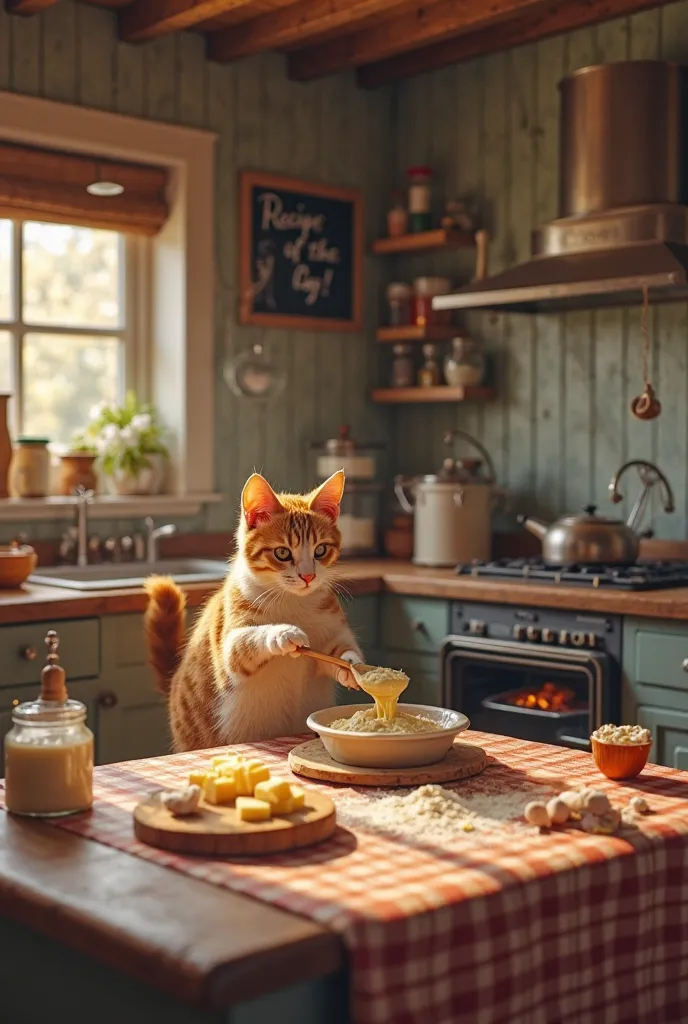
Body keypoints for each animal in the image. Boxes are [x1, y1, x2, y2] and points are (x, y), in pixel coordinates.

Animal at [142, 471, 362, 753]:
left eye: (320, 550)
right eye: (282, 552)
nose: (308, 576)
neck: (292, 601)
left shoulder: (332, 634)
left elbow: (337, 654)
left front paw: (353, 667)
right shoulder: (230, 646)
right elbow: (249, 640)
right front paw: (284, 633)